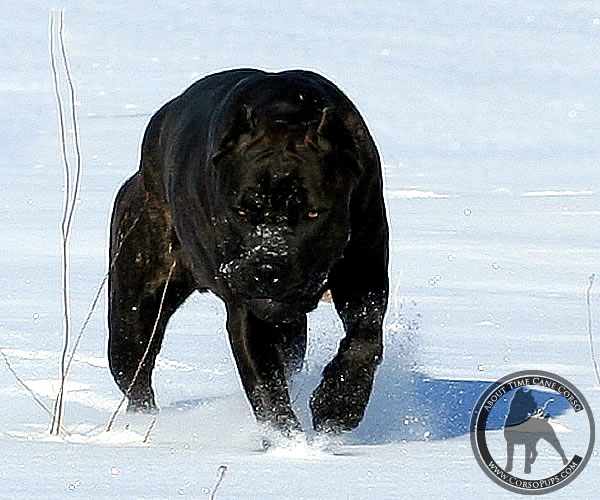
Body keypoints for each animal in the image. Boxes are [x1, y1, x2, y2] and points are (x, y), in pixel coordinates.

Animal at [108, 68, 390, 436]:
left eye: (312, 213)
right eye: (241, 210)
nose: (267, 265)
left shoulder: (364, 274)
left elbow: (365, 338)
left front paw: (339, 405)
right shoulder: (248, 313)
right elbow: (266, 390)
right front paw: (288, 441)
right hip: (133, 316)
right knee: (136, 378)